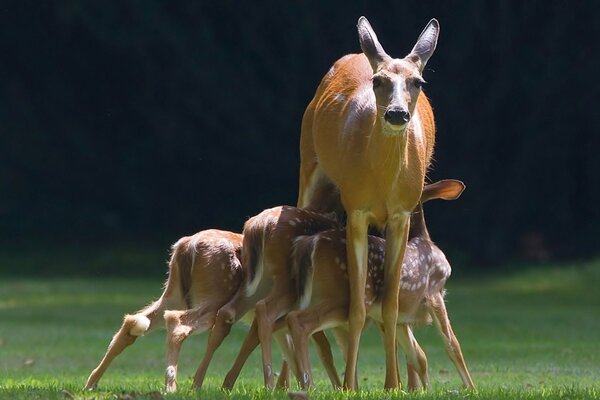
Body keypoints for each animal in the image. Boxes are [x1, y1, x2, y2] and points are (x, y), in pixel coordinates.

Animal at [288, 180, 476, 390]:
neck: (425, 239)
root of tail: (309, 243)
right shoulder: (435, 292)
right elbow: (453, 346)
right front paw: (472, 389)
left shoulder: (402, 318)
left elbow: (418, 356)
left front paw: (426, 390)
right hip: (344, 298)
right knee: (299, 321)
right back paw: (310, 384)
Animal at [296, 16, 440, 388]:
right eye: (378, 81)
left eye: (418, 81)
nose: (397, 114)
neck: (383, 182)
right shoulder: (356, 209)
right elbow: (357, 308)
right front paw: (349, 384)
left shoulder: (401, 215)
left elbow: (390, 305)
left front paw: (393, 384)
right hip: (309, 166)